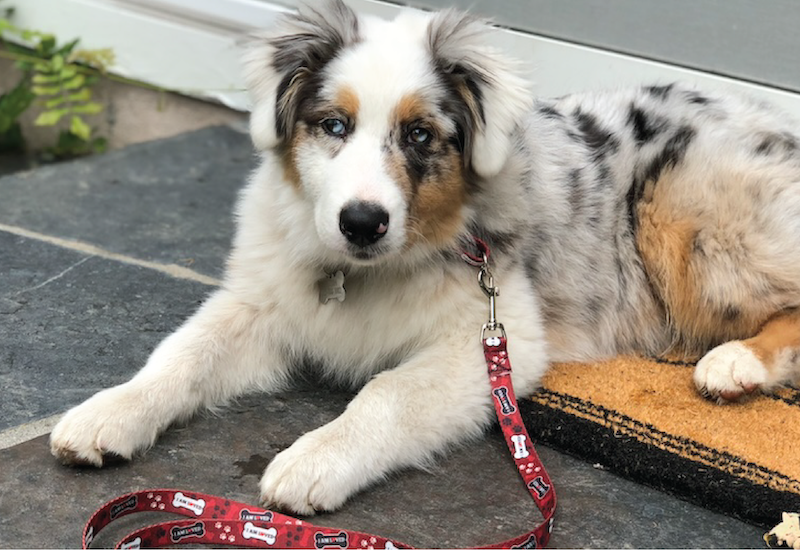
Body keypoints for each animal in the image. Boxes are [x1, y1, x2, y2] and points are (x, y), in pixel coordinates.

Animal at [48, 1, 800, 516]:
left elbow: (386, 394)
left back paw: (733, 364)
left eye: (418, 135)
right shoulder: (261, 302)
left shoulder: (496, 340)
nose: (361, 223)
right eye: (334, 125)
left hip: (684, 215)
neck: (365, 272)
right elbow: (183, 352)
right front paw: (109, 413)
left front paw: (314, 459)